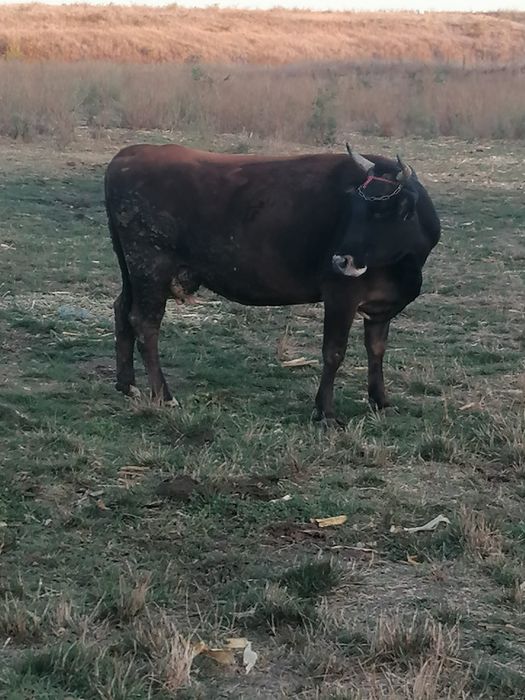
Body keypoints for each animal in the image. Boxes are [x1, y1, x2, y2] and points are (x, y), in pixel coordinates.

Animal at [105, 143, 440, 425]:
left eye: (382, 211)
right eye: (353, 208)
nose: (340, 260)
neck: (403, 267)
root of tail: (131, 153)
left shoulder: (380, 306)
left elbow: (377, 349)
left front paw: (380, 401)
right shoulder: (341, 295)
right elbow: (333, 352)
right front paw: (326, 412)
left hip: (133, 270)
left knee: (122, 309)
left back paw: (127, 384)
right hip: (150, 267)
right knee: (145, 323)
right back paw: (164, 395)